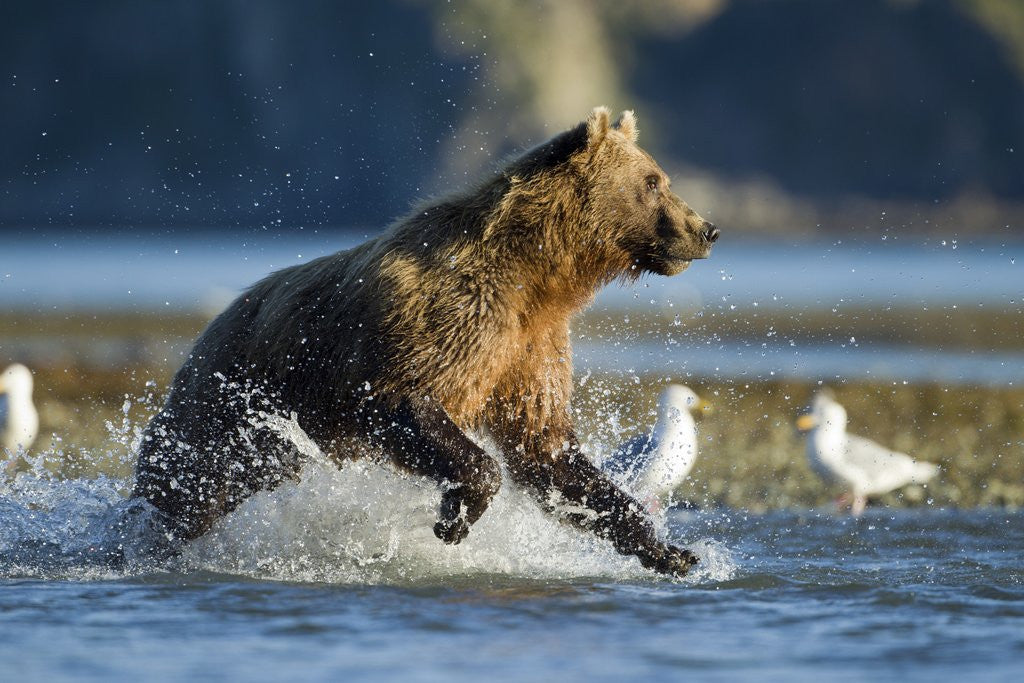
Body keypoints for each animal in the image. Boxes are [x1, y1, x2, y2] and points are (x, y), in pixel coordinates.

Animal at [132, 107, 719, 576]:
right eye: (653, 181)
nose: (706, 229)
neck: (535, 276)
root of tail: (203, 338)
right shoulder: (443, 318)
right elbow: (402, 398)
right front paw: (455, 517)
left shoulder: (530, 346)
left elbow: (547, 451)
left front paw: (672, 552)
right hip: (228, 410)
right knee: (187, 490)